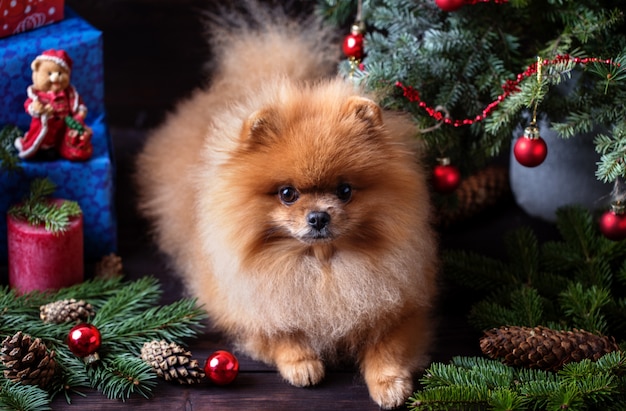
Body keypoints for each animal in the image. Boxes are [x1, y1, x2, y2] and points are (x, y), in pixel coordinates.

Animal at [134, 3, 436, 408]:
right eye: (288, 193)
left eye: (345, 190)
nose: (318, 217)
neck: (321, 266)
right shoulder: (246, 302)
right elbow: (278, 330)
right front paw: (302, 362)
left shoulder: (403, 306)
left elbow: (388, 344)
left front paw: (389, 383)